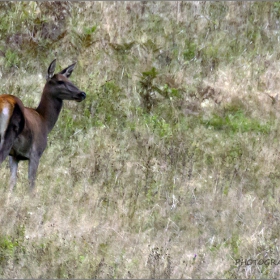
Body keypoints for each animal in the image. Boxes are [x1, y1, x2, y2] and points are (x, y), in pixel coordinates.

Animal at [0, 59, 86, 192]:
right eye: (60, 81)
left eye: (69, 80)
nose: (82, 94)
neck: (44, 121)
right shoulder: (36, 152)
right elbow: (31, 184)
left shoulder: (14, 156)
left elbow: (12, 182)